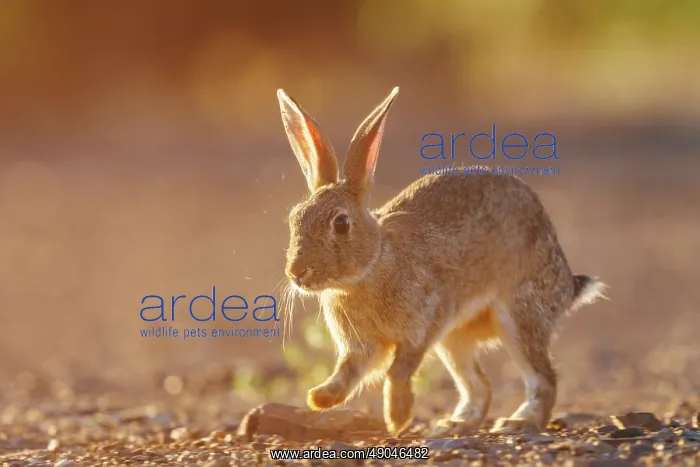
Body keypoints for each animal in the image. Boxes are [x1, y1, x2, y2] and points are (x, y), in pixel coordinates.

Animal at [276, 86, 606, 436]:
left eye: (341, 224)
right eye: (294, 219)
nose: (297, 273)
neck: (371, 267)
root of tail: (565, 284)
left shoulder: (426, 319)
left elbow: (398, 369)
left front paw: (397, 417)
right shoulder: (362, 345)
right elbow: (350, 370)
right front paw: (320, 398)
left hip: (519, 314)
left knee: (543, 378)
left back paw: (519, 422)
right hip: (454, 339)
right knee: (480, 385)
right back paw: (454, 424)